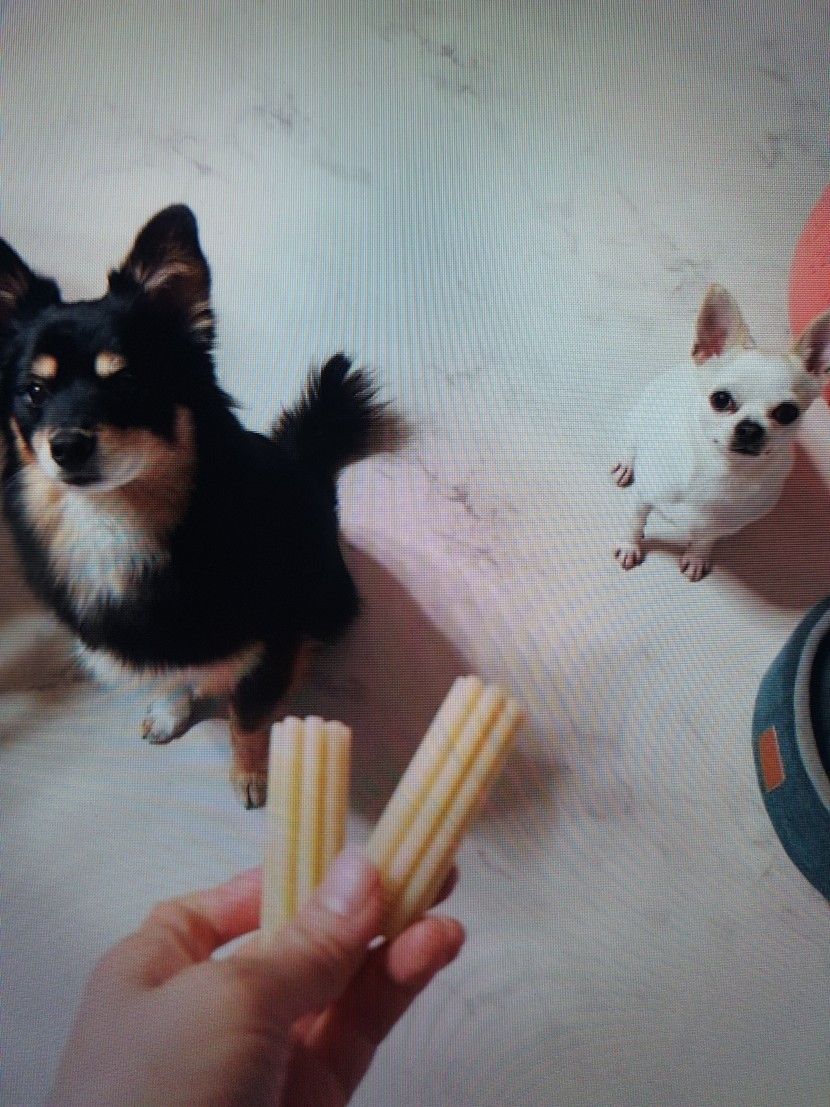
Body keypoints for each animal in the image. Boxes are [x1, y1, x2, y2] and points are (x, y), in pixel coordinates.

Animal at [0, 204, 387, 807]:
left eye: (127, 383)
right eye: (33, 392)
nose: (66, 447)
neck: (117, 521)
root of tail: (306, 465)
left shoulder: (268, 646)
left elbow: (248, 717)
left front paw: (252, 776)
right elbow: (175, 673)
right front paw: (169, 710)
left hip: (329, 603)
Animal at [612, 284, 830, 581]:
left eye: (787, 413)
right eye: (721, 399)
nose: (750, 429)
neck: (723, 470)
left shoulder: (723, 525)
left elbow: (705, 539)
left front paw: (696, 557)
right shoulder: (642, 498)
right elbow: (633, 523)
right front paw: (629, 546)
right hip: (637, 422)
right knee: (630, 446)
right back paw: (625, 465)